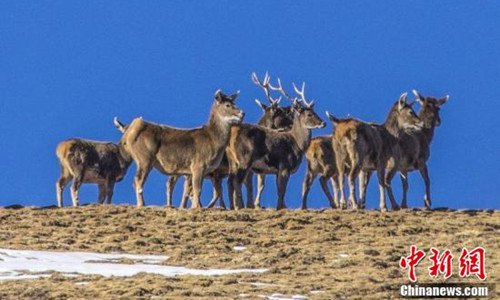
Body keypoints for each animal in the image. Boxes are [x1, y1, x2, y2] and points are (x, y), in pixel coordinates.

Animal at [115, 89, 244, 209]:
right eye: (227, 105)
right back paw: (142, 204)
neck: (213, 141)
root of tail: (129, 133)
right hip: (144, 158)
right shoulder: (198, 164)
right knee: (138, 180)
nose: (242, 113)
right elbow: (197, 190)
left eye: (234, 102)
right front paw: (196, 207)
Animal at [226, 77, 324, 210]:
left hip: (232, 160)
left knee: (230, 181)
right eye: (309, 114)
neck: (297, 144)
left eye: (315, 111)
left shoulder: (277, 170)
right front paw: (279, 207)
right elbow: (281, 190)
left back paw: (233, 206)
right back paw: (239, 206)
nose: (323, 123)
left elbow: (278, 189)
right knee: (237, 181)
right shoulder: (284, 165)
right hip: (244, 159)